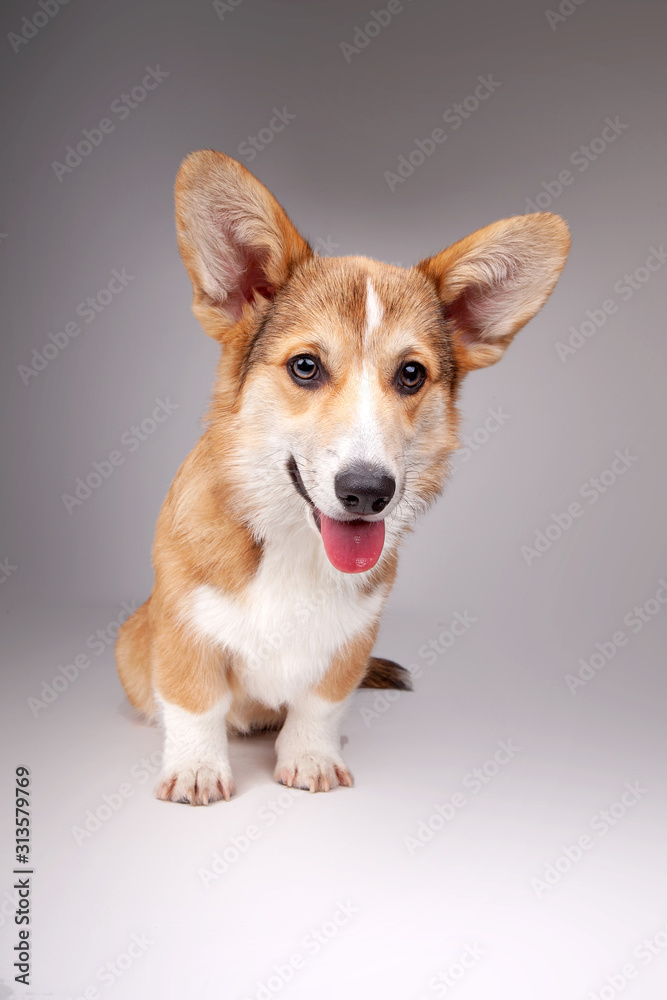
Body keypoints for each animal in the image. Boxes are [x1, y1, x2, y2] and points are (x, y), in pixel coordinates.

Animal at [113, 150, 568, 804]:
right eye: (306, 366)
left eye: (411, 374)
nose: (368, 492)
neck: (295, 544)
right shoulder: (184, 627)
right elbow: (196, 702)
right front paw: (197, 768)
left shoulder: (352, 641)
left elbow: (321, 703)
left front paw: (310, 757)